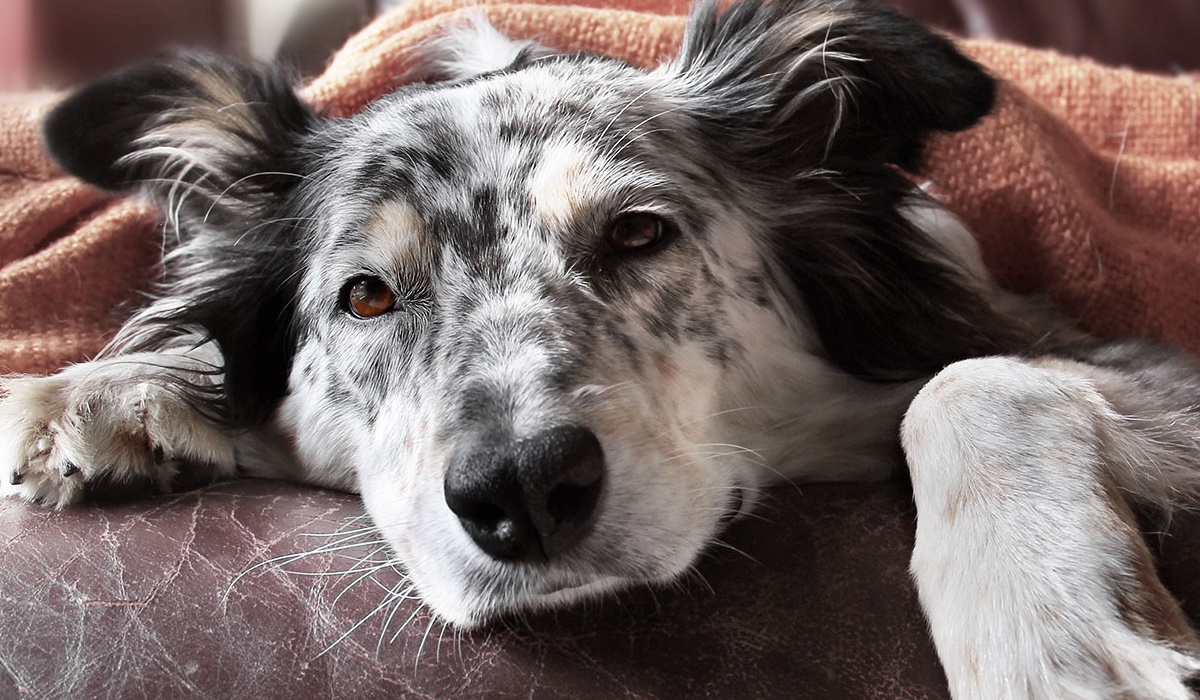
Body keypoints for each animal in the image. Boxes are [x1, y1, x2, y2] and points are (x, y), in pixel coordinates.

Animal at [7, 1, 1200, 696]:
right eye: (367, 297)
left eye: (637, 234)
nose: (522, 492)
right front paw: (101, 393)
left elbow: (969, 380)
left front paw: (1048, 637)